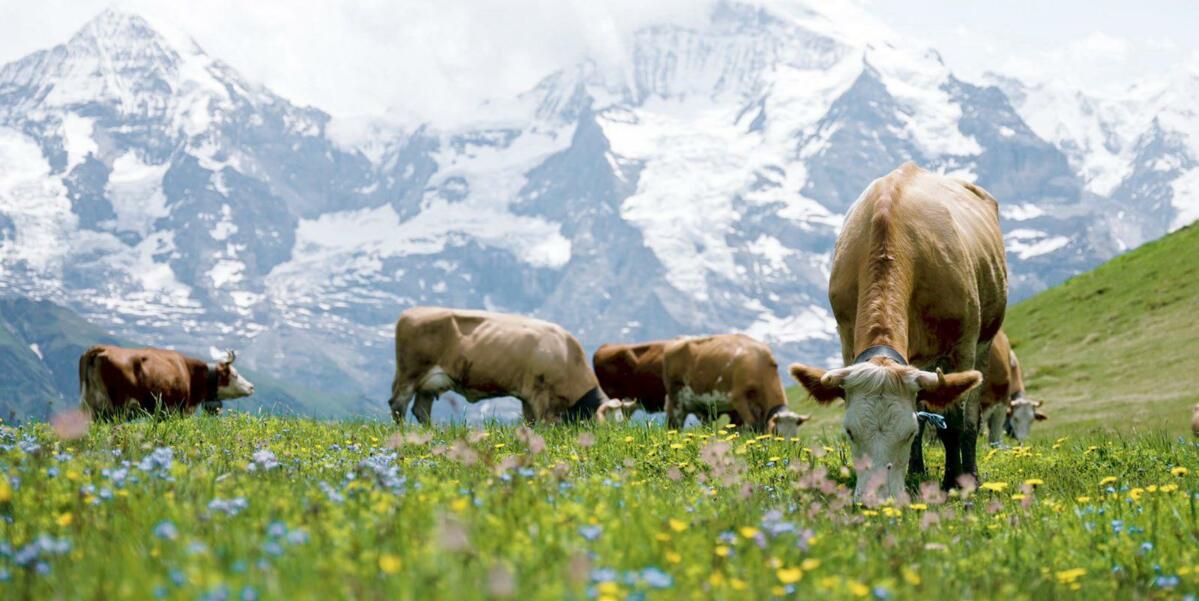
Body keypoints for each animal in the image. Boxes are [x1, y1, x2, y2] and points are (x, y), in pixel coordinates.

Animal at [79, 346, 254, 420]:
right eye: (234, 374)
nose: (251, 387)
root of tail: (104, 349)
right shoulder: (175, 410)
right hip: (117, 406)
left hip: (90, 405)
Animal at [386, 307, 604, 425]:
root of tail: (411, 312)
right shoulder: (541, 396)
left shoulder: (527, 397)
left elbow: (530, 422)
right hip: (409, 373)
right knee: (398, 404)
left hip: (429, 382)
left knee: (420, 410)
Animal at [661, 334, 808, 437]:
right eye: (778, 433)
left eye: (795, 437)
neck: (759, 363)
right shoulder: (738, 398)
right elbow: (751, 425)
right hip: (676, 402)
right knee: (674, 426)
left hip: (700, 408)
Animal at [789, 162, 1008, 499]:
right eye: (849, 432)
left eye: (907, 433)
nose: (876, 500)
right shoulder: (846, 337)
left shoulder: (962, 346)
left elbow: (953, 424)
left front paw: (952, 481)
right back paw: (918, 469)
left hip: (984, 343)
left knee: (971, 417)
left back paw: (969, 473)